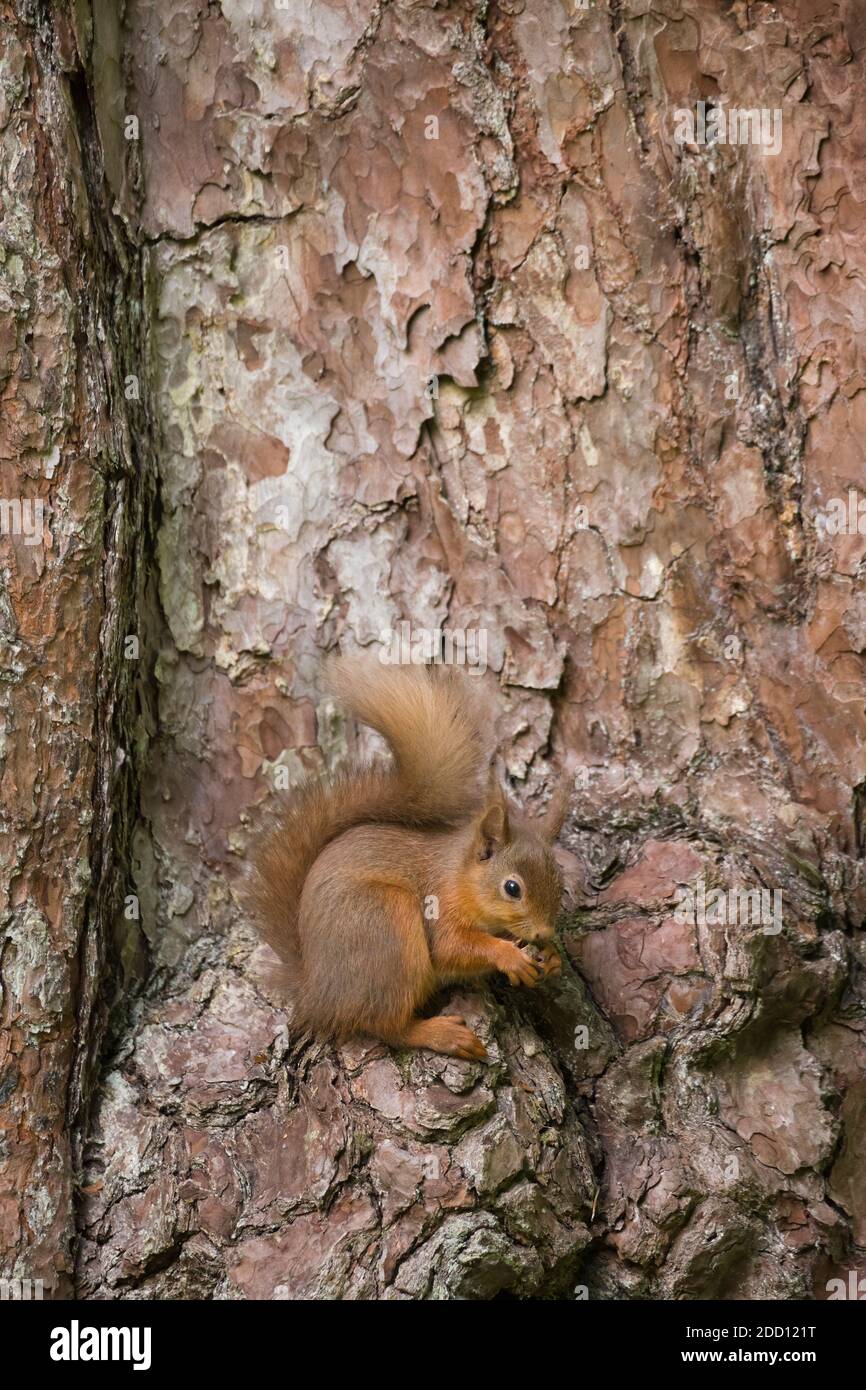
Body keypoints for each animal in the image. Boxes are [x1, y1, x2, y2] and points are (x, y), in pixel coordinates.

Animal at [245, 654, 568, 1061]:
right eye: (512, 888)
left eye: (561, 884)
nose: (544, 932)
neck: (459, 875)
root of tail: (318, 992)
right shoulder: (440, 904)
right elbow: (451, 946)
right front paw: (507, 955)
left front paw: (552, 957)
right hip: (386, 924)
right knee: (386, 1026)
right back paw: (442, 1034)